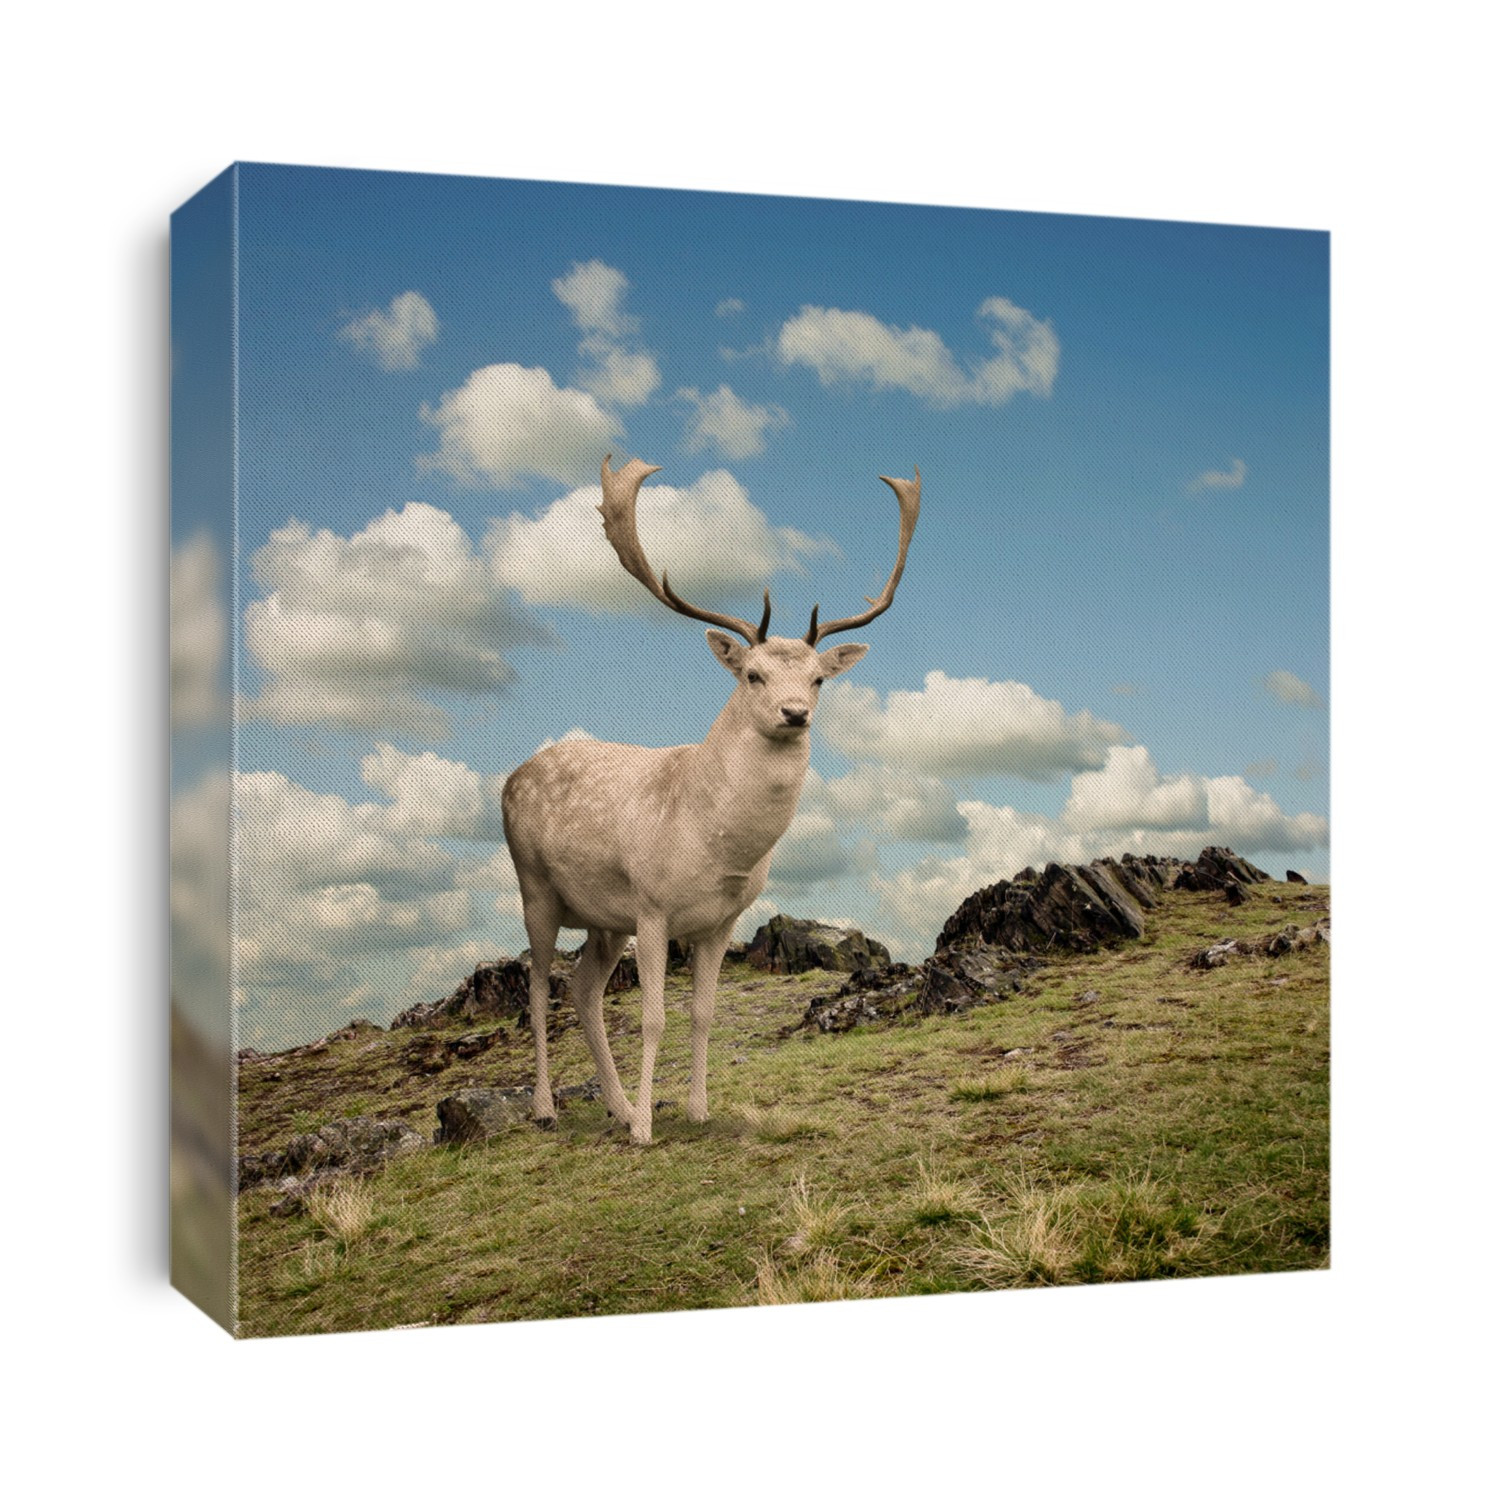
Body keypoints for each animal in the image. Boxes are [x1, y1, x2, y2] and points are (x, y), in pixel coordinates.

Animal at [501, 455, 920, 1144]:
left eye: (818, 678)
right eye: (753, 673)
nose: (795, 712)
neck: (716, 845)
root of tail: (511, 777)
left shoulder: (721, 921)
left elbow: (702, 1014)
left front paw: (695, 1109)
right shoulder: (651, 906)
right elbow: (654, 1018)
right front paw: (648, 1129)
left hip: (603, 918)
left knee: (584, 991)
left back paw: (616, 1106)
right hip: (535, 886)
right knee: (539, 988)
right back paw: (546, 1107)